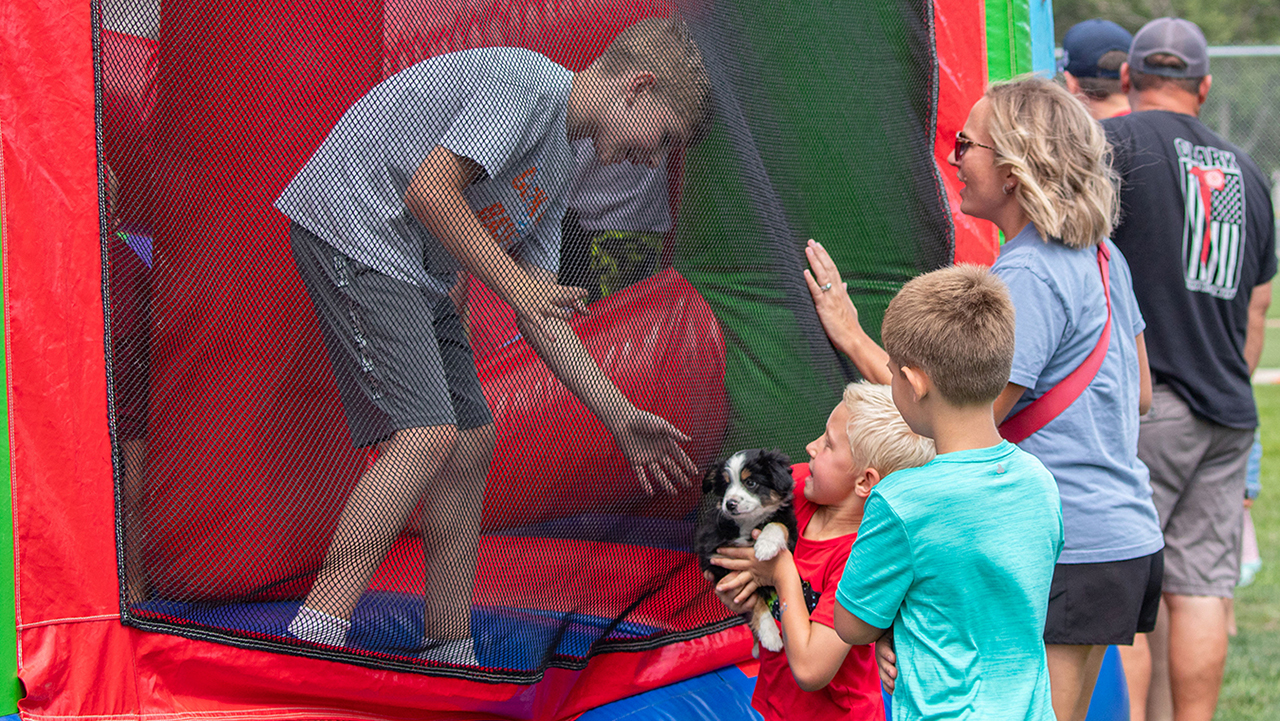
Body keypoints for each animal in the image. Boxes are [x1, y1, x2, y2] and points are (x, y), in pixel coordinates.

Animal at [696, 445, 793, 655]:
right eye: (725, 486)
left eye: (750, 483)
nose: (730, 504)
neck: (747, 524)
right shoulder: (718, 561)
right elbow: (755, 602)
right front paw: (770, 635)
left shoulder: (790, 527)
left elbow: (777, 524)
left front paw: (765, 546)